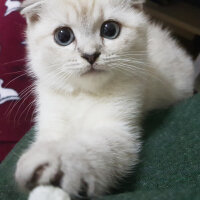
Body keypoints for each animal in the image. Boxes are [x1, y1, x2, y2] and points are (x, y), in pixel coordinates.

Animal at [15, 0, 194, 198]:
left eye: (110, 30)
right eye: (63, 36)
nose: (90, 55)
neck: (83, 95)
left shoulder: (119, 130)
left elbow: (87, 148)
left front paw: (54, 162)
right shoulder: (52, 122)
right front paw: (45, 191)